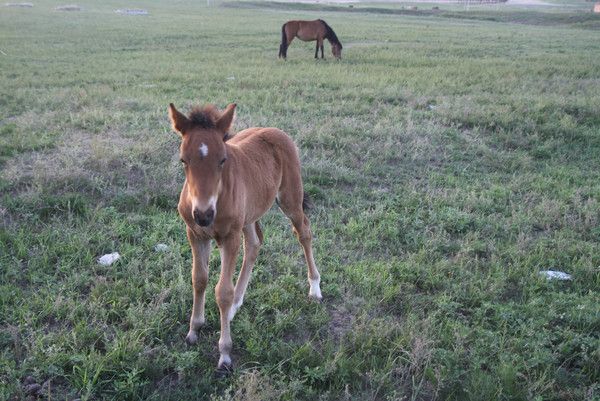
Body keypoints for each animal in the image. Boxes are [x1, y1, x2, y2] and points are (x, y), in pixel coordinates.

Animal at [169, 101, 324, 370]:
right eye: (183, 160)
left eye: (222, 160)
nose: (204, 215)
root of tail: (275, 130)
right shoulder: (195, 234)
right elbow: (199, 279)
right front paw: (194, 330)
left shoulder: (229, 237)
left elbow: (222, 291)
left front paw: (224, 354)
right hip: (249, 214)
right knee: (254, 244)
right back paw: (235, 307)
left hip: (290, 198)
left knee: (303, 231)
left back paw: (314, 287)